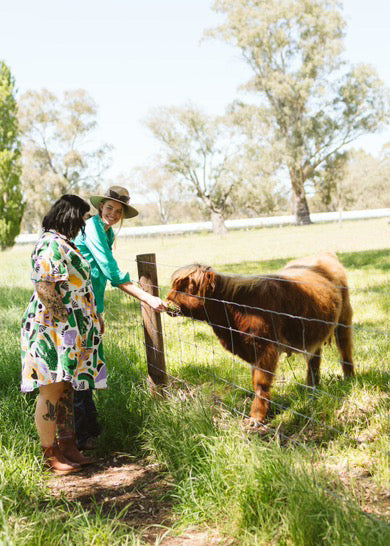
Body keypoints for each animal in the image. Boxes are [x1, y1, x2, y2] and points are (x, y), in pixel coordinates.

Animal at [166, 251, 354, 420]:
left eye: (189, 288)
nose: (167, 301)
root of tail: (324, 255)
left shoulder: (266, 348)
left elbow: (260, 383)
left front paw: (257, 416)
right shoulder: (252, 350)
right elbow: (255, 378)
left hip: (344, 319)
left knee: (345, 348)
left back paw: (349, 379)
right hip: (313, 329)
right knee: (315, 357)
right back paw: (312, 387)